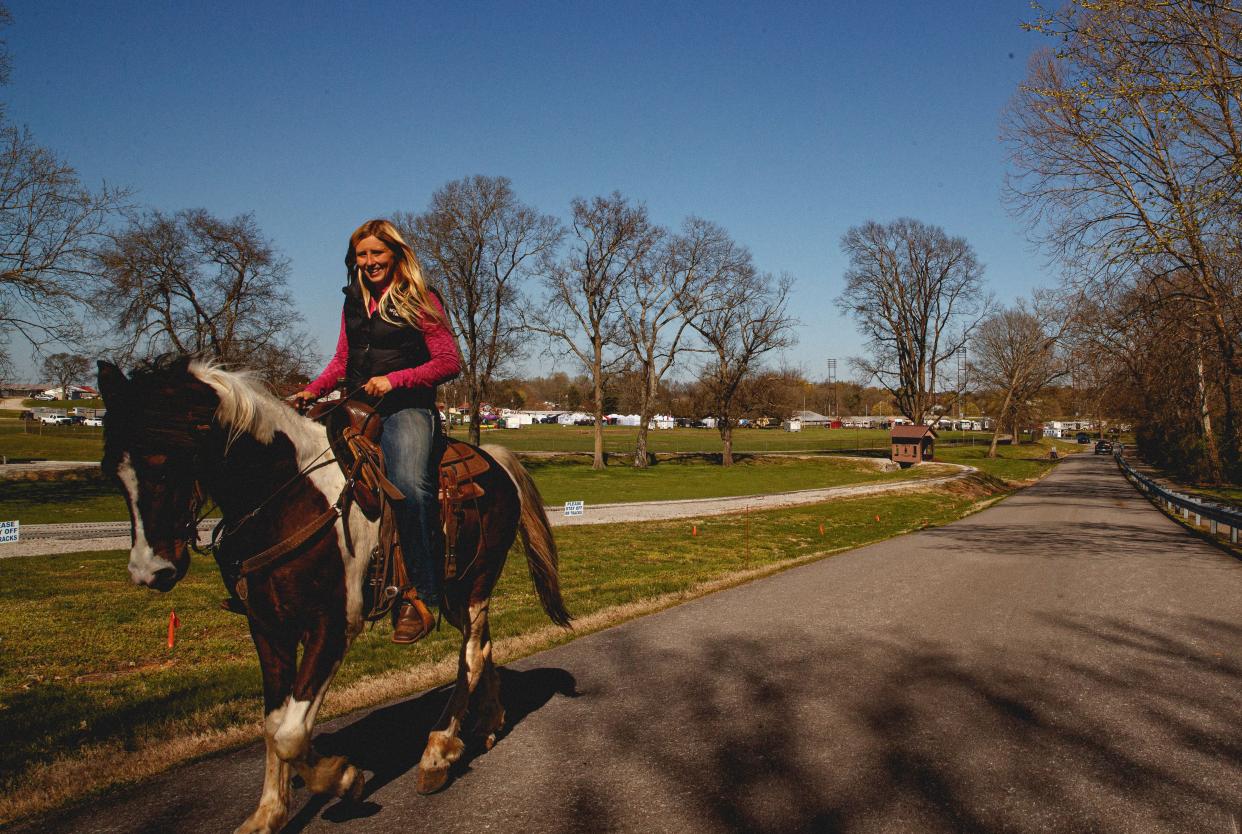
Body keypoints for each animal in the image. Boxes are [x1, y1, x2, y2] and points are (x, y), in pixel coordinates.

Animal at [96, 352, 571, 834]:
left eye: (164, 464)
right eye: (112, 473)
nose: (149, 571)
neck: (286, 498)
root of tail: (495, 460)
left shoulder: (333, 625)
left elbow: (290, 733)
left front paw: (342, 778)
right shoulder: (268, 628)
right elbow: (273, 722)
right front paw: (268, 813)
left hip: (474, 584)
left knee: (470, 658)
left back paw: (437, 752)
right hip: (456, 595)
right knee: (484, 646)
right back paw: (487, 721)